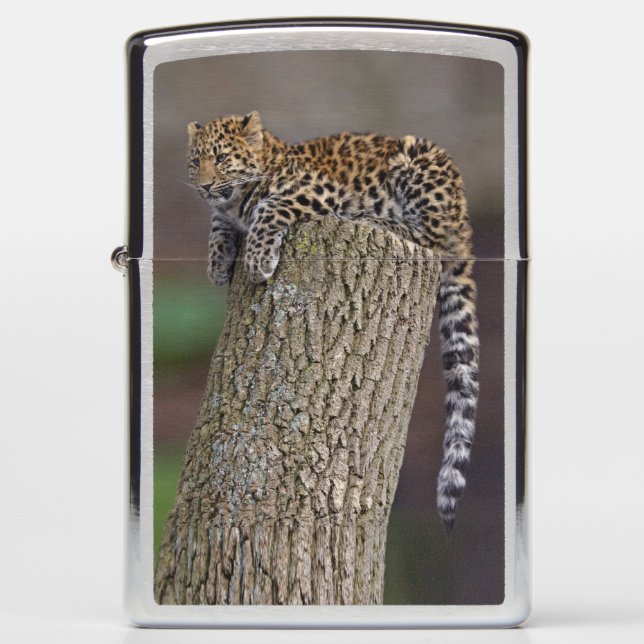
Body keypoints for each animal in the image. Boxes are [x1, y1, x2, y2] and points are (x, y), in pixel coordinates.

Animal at [187, 111, 479, 530]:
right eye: (196, 162)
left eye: (223, 158)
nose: (205, 185)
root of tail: (463, 217)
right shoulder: (224, 211)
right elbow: (217, 223)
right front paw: (217, 263)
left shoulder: (316, 191)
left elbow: (268, 208)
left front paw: (257, 260)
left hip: (415, 161)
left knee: (431, 238)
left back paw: (376, 219)